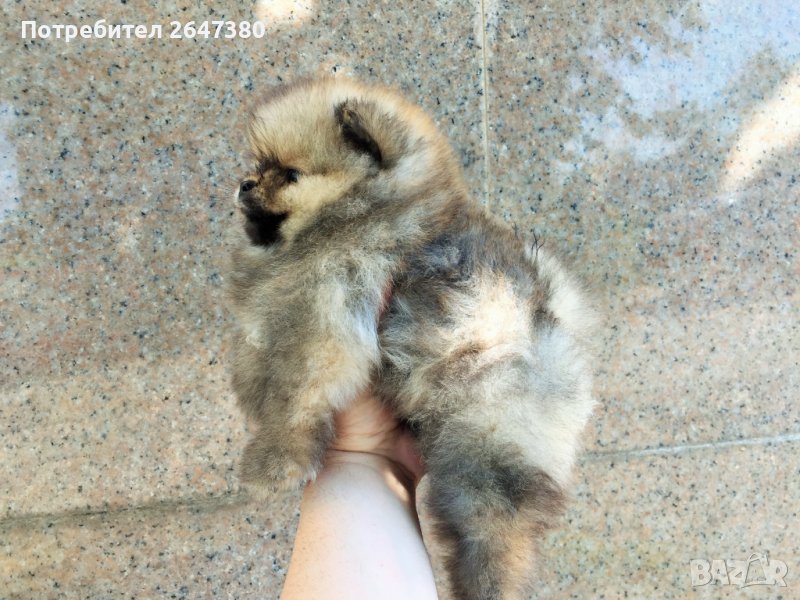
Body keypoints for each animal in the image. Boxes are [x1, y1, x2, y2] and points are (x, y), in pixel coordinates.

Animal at [227, 76, 596, 599]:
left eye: (290, 173)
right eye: (259, 166)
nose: (244, 184)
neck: (361, 212)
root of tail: (553, 322)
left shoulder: (323, 318)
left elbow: (293, 396)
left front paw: (274, 464)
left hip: (487, 438)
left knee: (498, 528)